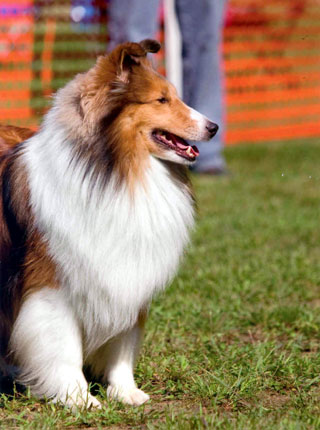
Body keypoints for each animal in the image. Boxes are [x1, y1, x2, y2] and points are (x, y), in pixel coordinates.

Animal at [0, 40, 218, 410]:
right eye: (161, 100)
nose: (214, 127)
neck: (120, 172)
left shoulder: (127, 270)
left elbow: (123, 341)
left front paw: (125, 391)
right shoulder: (51, 282)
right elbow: (64, 344)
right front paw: (77, 397)